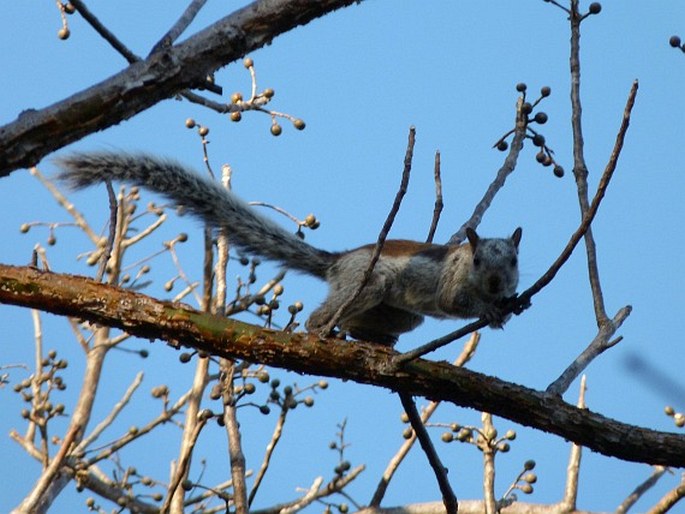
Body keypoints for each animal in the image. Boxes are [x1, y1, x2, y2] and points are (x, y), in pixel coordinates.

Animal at [56, 151, 520, 344]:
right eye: (478, 259)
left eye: (515, 261)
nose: (498, 285)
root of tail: (336, 264)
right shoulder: (450, 282)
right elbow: (452, 301)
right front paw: (488, 310)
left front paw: (510, 303)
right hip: (367, 282)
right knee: (325, 315)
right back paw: (320, 330)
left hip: (400, 313)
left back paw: (374, 339)